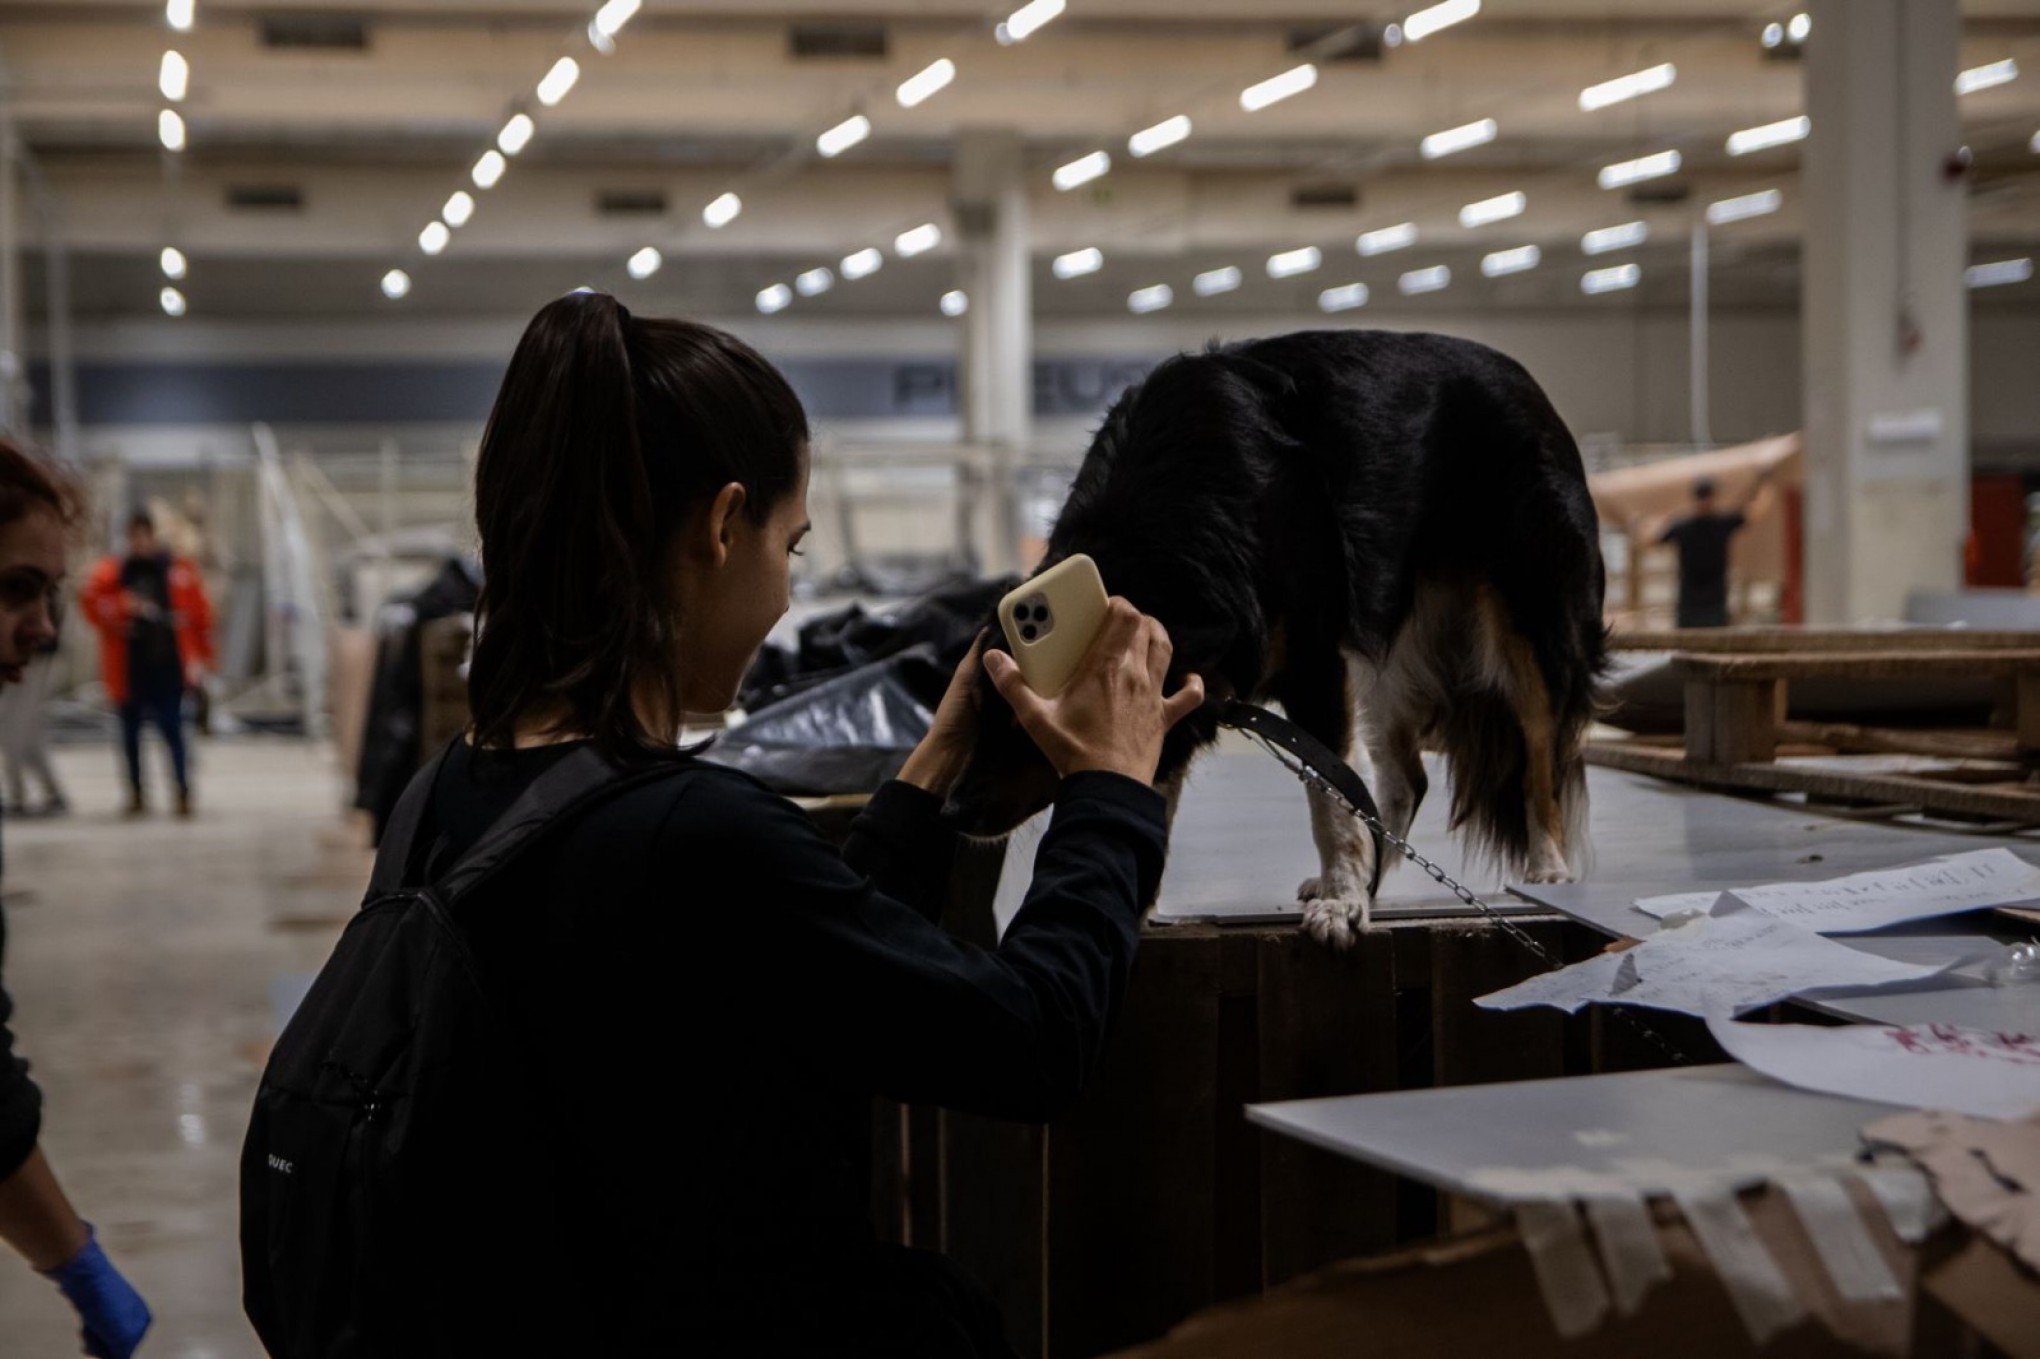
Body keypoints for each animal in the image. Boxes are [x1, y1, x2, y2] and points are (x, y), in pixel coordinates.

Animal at [946, 328, 1599, 942]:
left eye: (1030, 726)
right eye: (980, 711)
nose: (953, 811)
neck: (1156, 548)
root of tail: (1527, 384)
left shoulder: (1313, 661)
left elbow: (1329, 796)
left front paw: (1343, 900)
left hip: (1528, 615)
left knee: (1541, 751)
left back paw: (1547, 870)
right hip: (1388, 653)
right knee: (1405, 779)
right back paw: (1379, 871)